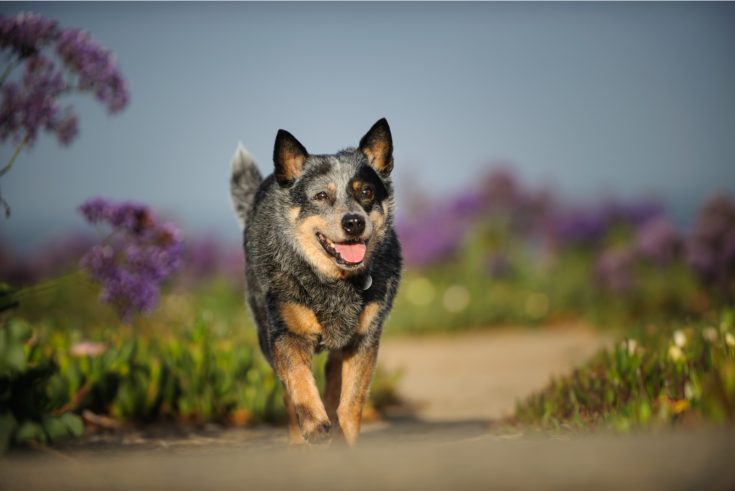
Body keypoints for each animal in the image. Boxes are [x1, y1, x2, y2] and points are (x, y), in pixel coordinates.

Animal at [230, 119, 402, 446]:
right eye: (321, 196)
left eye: (366, 191)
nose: (354, 222)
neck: (334, 281)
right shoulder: (287, 334)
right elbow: (298, 380)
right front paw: (314, 424)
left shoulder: (364, 339)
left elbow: (351, 402)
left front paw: (346, 438)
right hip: (264, 332)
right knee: (288, 393)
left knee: (333, 377)